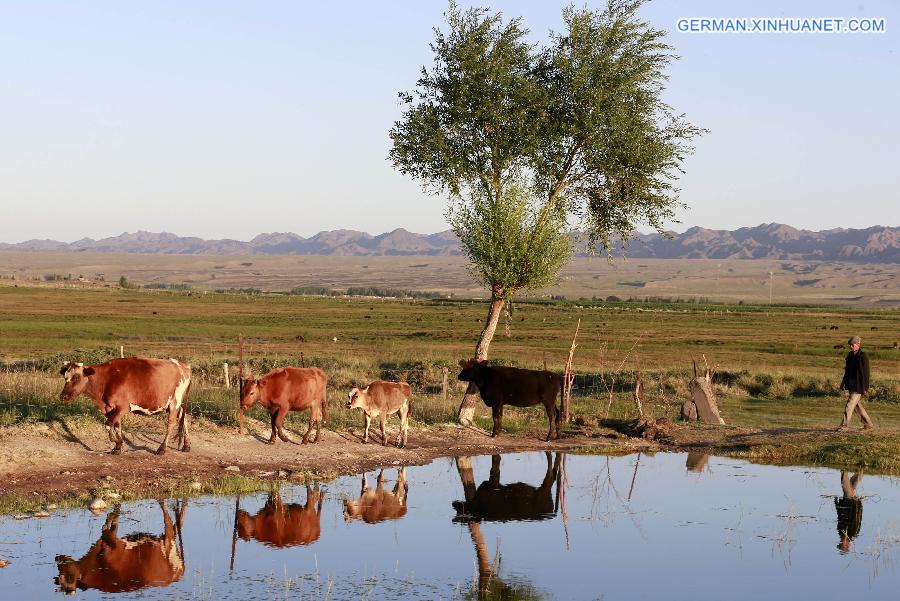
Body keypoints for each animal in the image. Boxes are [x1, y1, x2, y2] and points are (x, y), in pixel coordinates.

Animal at [53, 500, 186, 592]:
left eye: (67, 577)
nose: (57, 558)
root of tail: (178, 575)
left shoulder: (114, 546)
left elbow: (105, 528)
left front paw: (114, 511)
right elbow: (111, 524)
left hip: (168, 544)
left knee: (168, 518)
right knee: (177, 524)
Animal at [59, 356, 192, 454]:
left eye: (76, 377)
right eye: (65, 377)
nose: (62, 396)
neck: (106, 379)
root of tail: (183, 365)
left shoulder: (123, 407)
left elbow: (108, 424)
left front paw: (116, 442)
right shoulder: (112, 408)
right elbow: (117, 426)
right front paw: (118, 447)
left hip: (175, 402)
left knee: (171, 424)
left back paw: (162, 448)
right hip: (178, 403)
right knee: (184, 418)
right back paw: (186, 446)